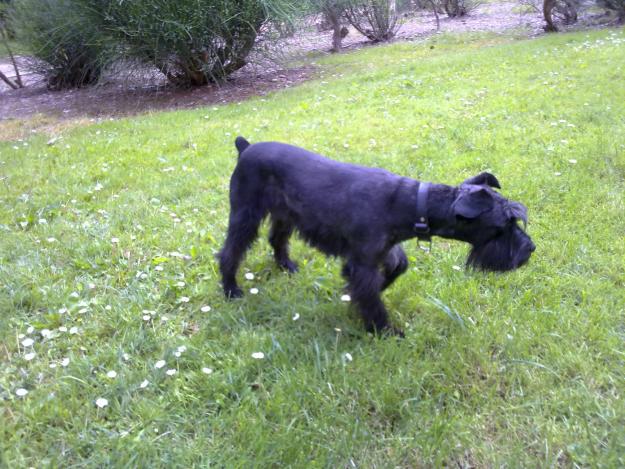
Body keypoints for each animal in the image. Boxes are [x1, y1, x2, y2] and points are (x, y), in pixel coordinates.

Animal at [218, 137, 532, 334]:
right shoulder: (363, 261)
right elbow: (370, 296)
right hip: (245, 215)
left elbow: (396, 269)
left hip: (285, 215)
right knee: (229, 252)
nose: (530, 250)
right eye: (504, 225)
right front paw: (384, 330)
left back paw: (286, 266)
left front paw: (367, 293)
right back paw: (231, 289)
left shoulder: (383, 249)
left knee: (277, 239)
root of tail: (245, 148)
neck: (412, 202)